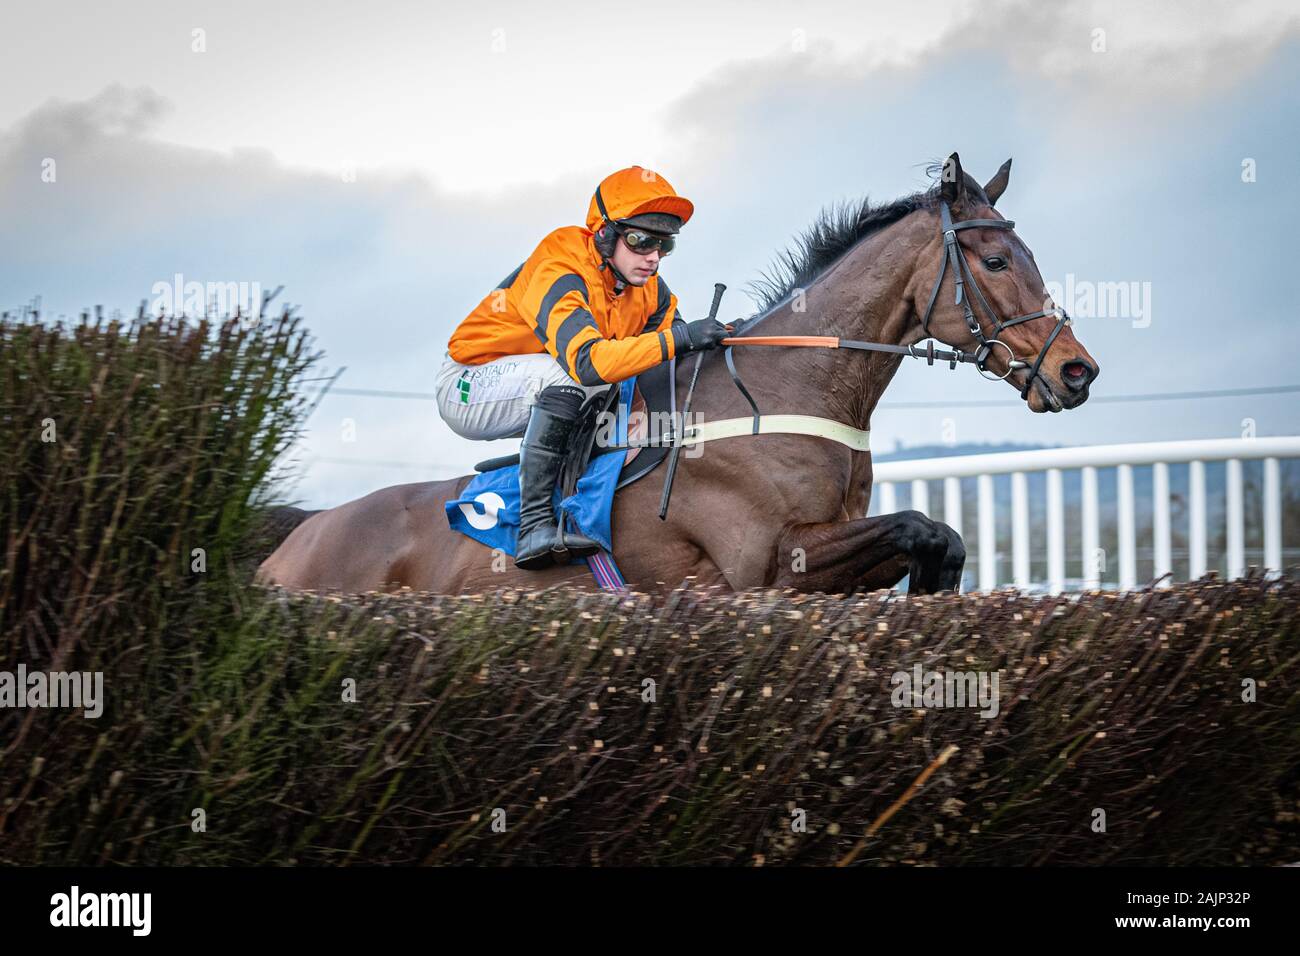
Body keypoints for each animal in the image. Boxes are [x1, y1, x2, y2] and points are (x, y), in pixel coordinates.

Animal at [261, 153, 1097, 595]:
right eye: (996, 261)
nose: (1077, 370)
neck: (784, 396)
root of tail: (297, 538)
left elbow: (938, 536)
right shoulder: (768, 565)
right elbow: (920, 524)